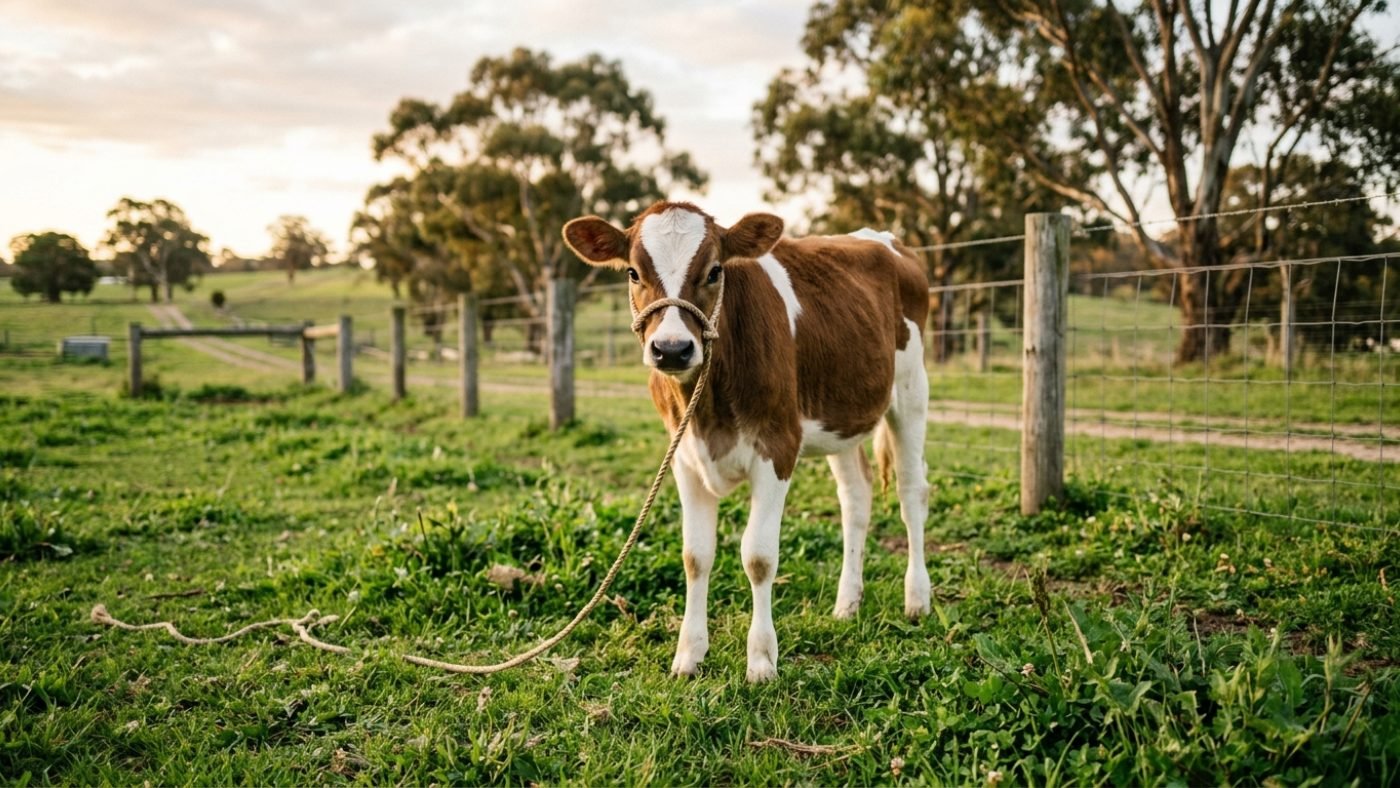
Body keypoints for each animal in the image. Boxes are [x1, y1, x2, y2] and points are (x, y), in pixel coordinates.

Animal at [562, 202, 931, 682]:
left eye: (715, 270)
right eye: (632, 272)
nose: (672, 349)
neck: (708, 407)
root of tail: (883, 238)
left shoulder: (778, 447)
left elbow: (758, 556)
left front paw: (761, 660)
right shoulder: (684, 457)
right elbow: (695, 555)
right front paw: (689, 654)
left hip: (911, 390)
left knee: (911, 493)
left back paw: (917, 599)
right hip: (841, 415)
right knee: (856, 499)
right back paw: (847, 603)